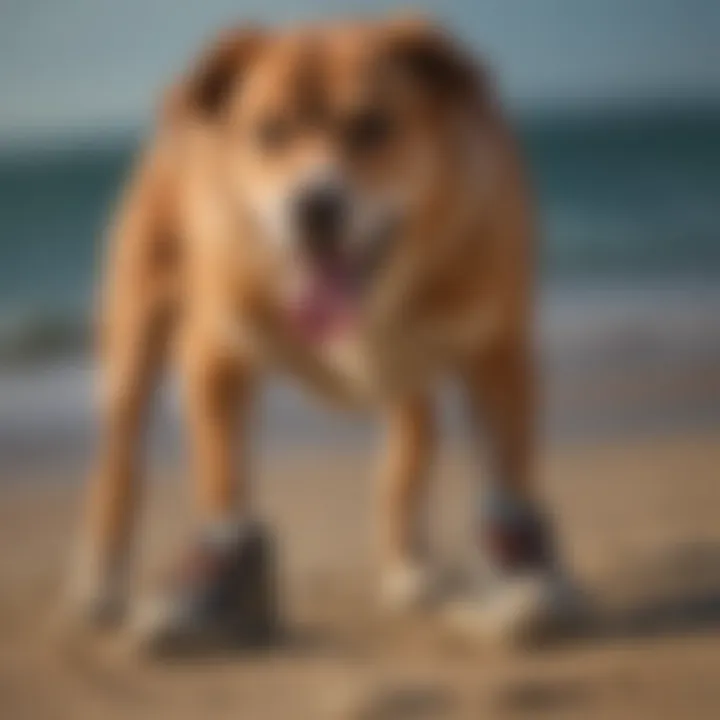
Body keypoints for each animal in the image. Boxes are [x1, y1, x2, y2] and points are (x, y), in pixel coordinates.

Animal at [70, 15, 572, 648]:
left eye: (372, 125)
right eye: (269, 132)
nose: (312, 207)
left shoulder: (498, 354)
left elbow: (508, 472)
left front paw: (524, 574)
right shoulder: (216, 355)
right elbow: (223, 479)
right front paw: (215, 584)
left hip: (410, 379)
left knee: (410, 452)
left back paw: (410, 565)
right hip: (133, 343)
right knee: (119, 465)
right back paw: (99, 584)